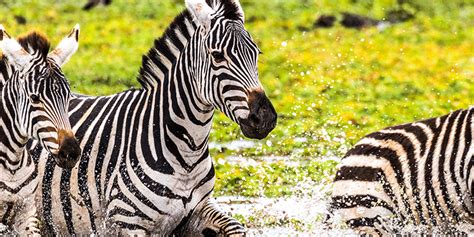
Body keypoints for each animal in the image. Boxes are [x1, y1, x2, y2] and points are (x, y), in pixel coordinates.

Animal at [12, 0, 278, 235]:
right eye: (218, 56)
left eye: (257, 53)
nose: (265, 118)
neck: (187, 152)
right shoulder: (125, 221)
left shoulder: (199, 209)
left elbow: (236, 228)